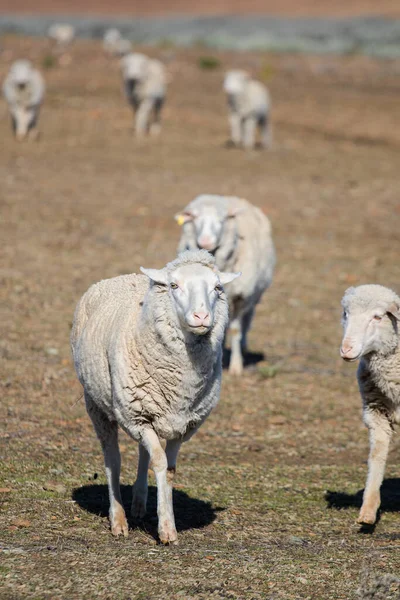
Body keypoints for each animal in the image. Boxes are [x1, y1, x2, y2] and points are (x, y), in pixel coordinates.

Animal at [70, 248, 239, 544]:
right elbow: (158, 461)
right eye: (174, 285)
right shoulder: (137, 417)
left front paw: (166, 518)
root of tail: (121, 277)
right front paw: (166, 530)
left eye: (218, 287)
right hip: (99, 407)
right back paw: (118, 519)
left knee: (142, 452)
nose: (201, 317)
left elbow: (168, 469)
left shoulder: (183, 425)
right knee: (113, 459)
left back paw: (139, 503)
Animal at [177, 196, 276, 376]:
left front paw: (236, 366)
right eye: (195, 218)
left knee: (247, 320)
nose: (206, 241)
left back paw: (243, 346)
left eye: (221, 220)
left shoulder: (240, 298)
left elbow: (236, 330)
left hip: (254, 296)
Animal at [340, 284, 400, 524]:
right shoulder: (376, 412)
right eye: (346, 314)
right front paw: (368, 511)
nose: (346, 349)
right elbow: (376, 456)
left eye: (377, 316)